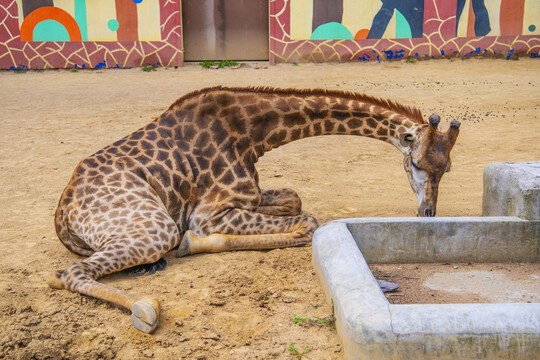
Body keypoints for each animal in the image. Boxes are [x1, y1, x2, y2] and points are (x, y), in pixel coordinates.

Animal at [48, 86, 460, 334]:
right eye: (417, 163)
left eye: (448, 167)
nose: (428, 213)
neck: (253, 133)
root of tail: (62, 216)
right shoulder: (208, 214)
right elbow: (308, 222)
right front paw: (192, 243)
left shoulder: (248, 197)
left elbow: (295, 199)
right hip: (154, 225)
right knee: (68, 273)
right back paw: (145, 310)